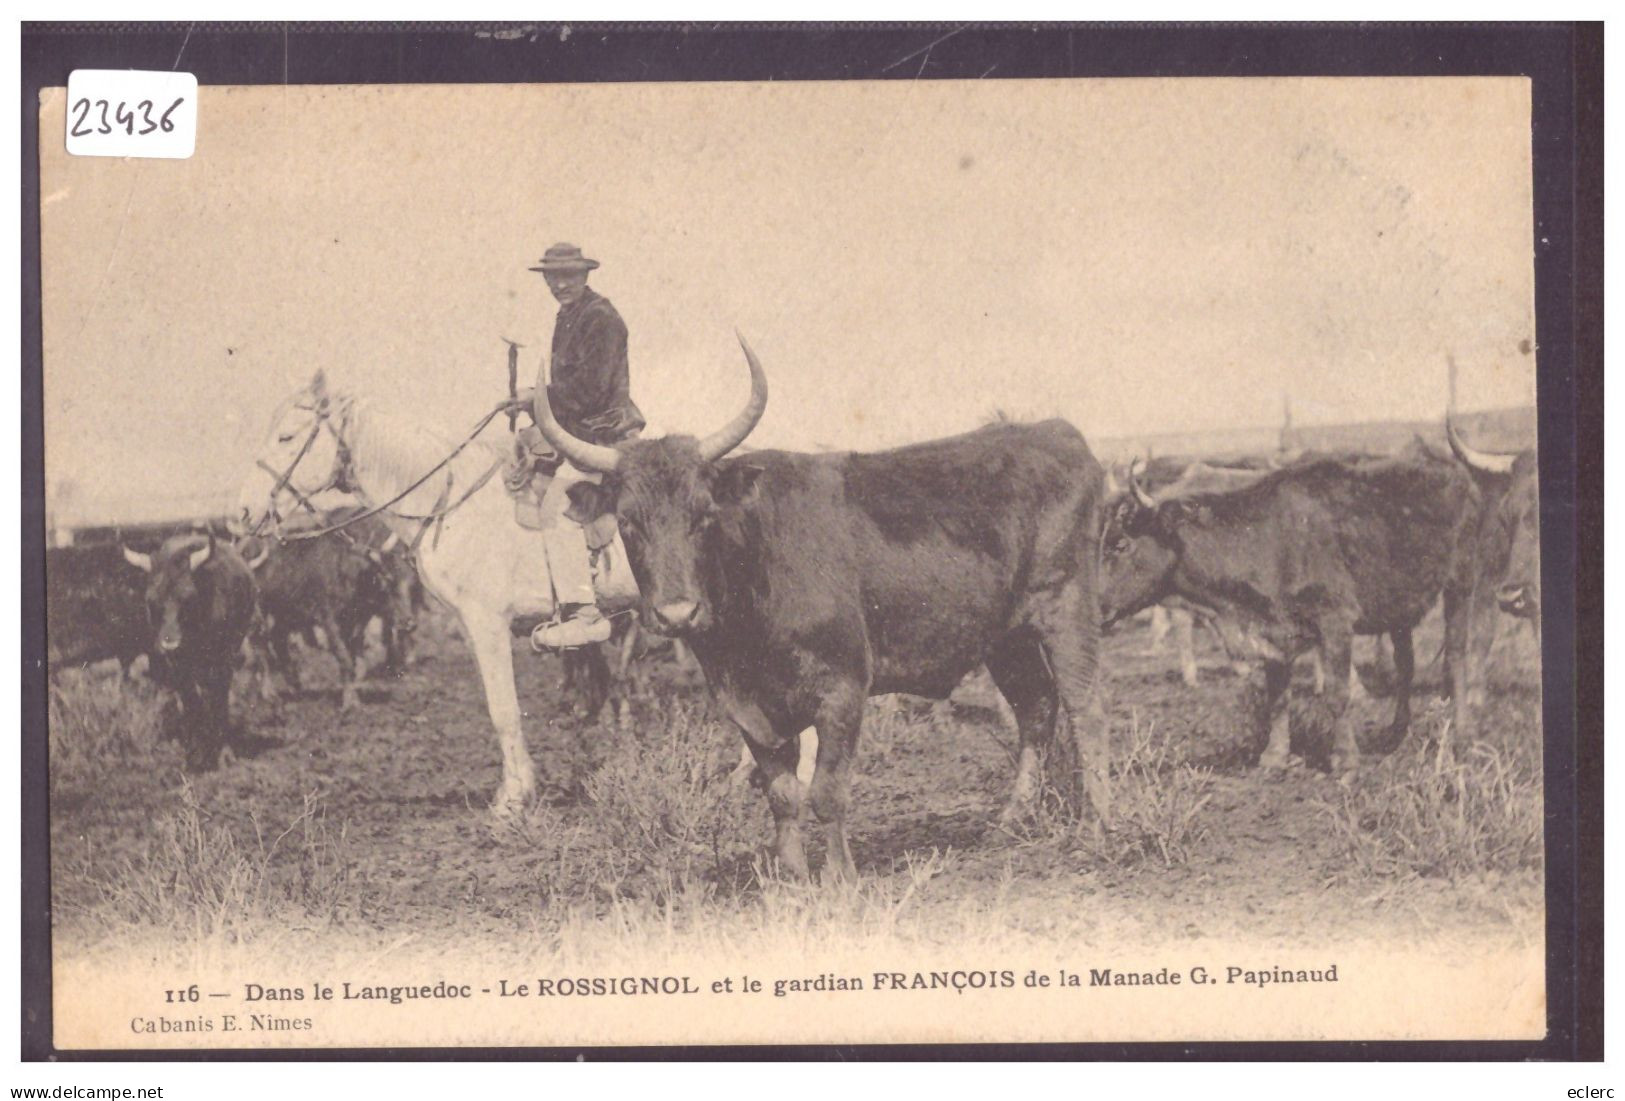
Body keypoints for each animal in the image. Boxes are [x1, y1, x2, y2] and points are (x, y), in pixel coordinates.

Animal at [237, 370, 630, 818]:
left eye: (286, 436)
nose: (244, 511)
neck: (453, 506)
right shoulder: (471, 626)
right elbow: (497, 705)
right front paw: (511, 790)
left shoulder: (488, 623)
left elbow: (504, 710)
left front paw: (514, 801)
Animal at [539, 341, 1111, 883]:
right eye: (628, 522)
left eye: (704, 515)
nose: (678, 614)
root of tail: (1054, 432)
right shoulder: (745, 703)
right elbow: (782, 795)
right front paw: (792, 877)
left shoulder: (841, 688)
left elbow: (826, 792)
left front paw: (839, 878)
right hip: (1006, 636)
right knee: (1036, 708)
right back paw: (1012, 820)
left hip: (1066, 604)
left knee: (1085, 708)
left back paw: (1094, 827)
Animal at [1098, 451, 1482, 772]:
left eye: (1122, 544)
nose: (1098, 608)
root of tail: (1453, 469)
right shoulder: (1274, 631)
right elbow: (1278, 697)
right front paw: (1275, 755)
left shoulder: (1336, 621)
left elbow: (1337, 694)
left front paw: (1345, 761)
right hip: (1400, 608)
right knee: (1405, 665)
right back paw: (1396, 733)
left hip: (1461, 584)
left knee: (1457, 655)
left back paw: (1463, 734)